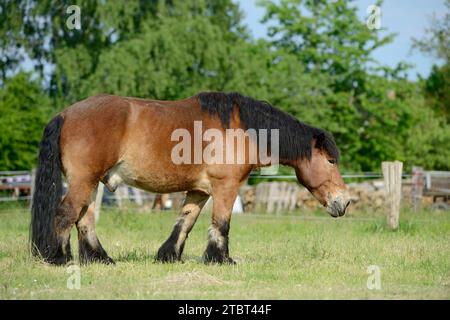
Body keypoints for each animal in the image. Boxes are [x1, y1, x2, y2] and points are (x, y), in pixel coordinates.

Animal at [30, 92, 352, 264]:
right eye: (331, 160)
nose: (345, 201)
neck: (242, 129)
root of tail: (65, 114)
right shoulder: (225, 187)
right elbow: (221, 224)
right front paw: (221, 259)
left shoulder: (200, 191)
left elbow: (184, 223)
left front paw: (168, 255)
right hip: (84, 181)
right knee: (65, 215)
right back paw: (59, 258)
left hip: (90, 182)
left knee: (84, 218)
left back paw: (100, 258)